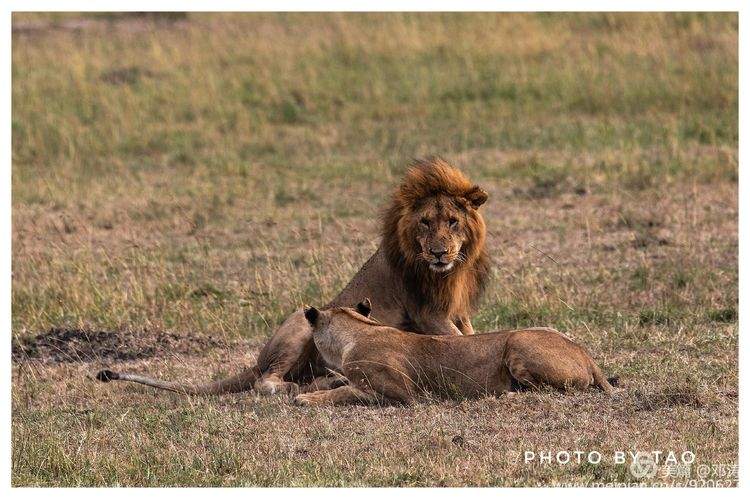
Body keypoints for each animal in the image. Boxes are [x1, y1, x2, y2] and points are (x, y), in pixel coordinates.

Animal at [95, 158, 494, 396]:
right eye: (425, 222)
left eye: (453, 222)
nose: (439, 252)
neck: (450, 272)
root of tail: (258, 358)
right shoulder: (429, 315)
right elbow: (457, 342)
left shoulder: (457, 313)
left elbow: (472, 336)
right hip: (299, 326)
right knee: (266, 382)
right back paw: (301, 386)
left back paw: (329, 379)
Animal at [294, 300, 616, 406]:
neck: (357, 331)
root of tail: (586, 354)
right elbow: (341, 384)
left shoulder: (403, 395)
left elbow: (346, 392)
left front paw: (307, 398)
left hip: (517, 342)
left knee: (550, 392)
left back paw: (505, 396)